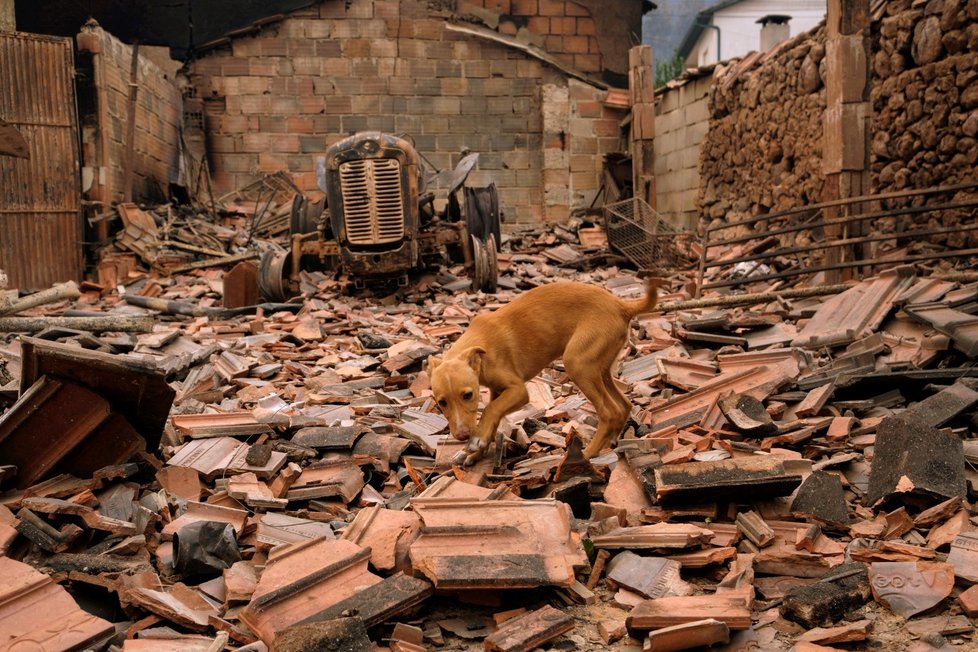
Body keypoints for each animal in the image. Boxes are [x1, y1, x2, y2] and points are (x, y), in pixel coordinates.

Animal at [428, 278, 656, 466]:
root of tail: (621, 305)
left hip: (577, 363)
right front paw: (477, 452)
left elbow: (490, 409)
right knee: (624, 405)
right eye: (441, 403)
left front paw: (477, 442)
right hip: (600, 368)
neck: (480, 345)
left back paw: (587, 453)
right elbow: (492, 417)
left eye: (468, 395)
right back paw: (612, 440)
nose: (462, 436)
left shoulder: (518, 391)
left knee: (610, 412)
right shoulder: (497, 391)